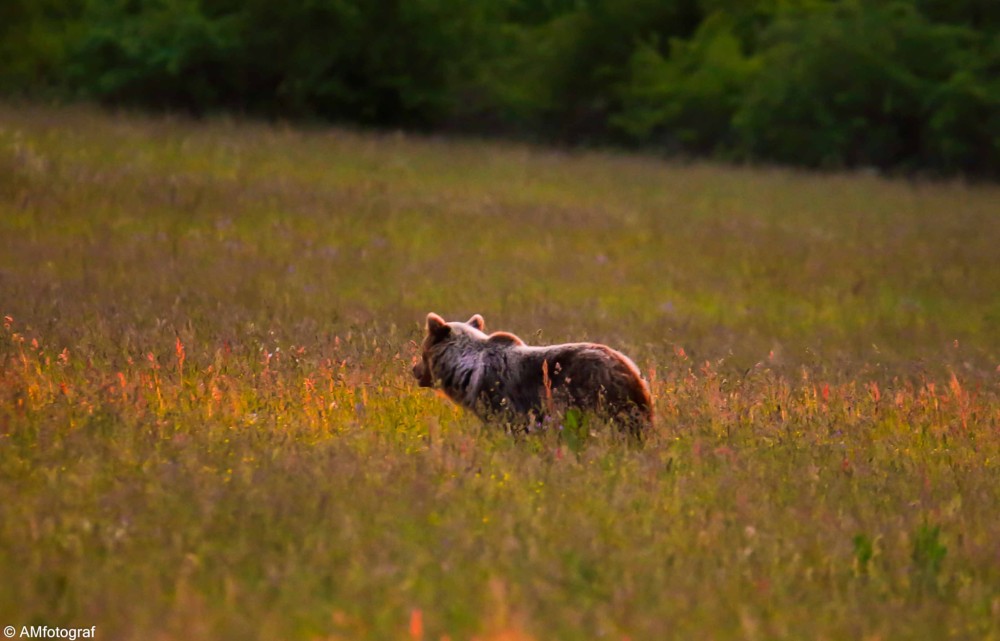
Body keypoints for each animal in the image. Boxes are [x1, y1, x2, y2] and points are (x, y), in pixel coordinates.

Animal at [410, 312, 652, 436]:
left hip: (594, 395)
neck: (466, 369)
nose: (414, 369)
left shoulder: (500, 397)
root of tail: (632, 372)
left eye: (422, 351)